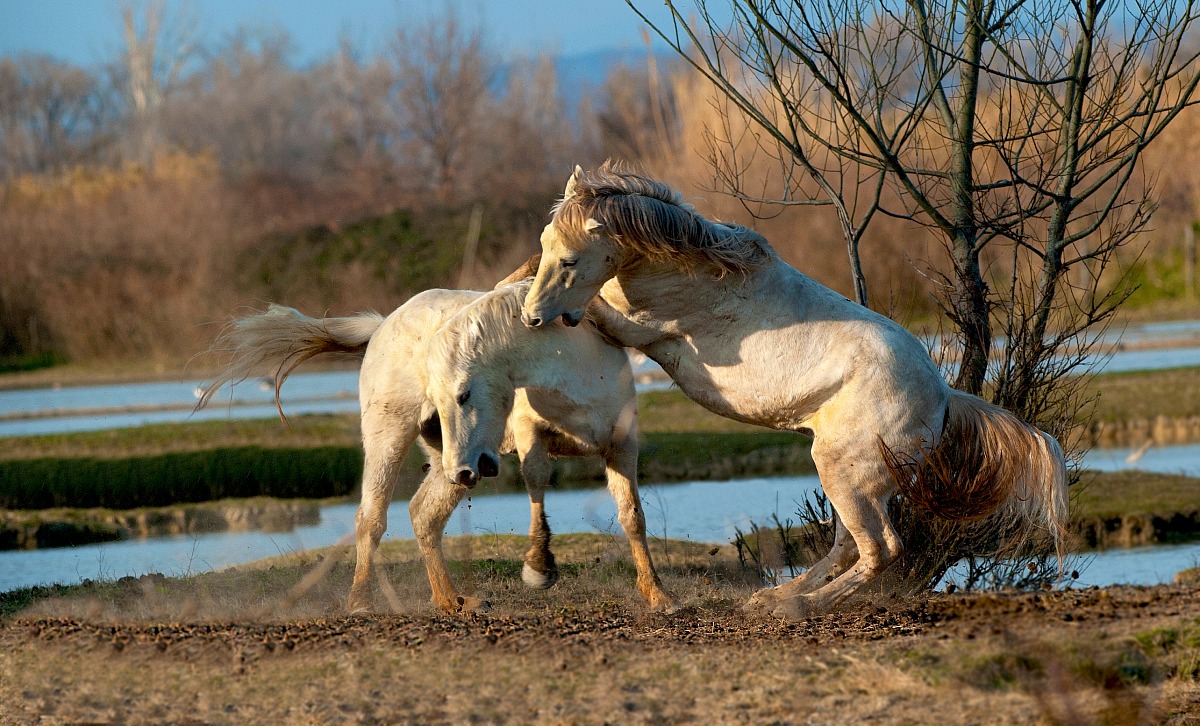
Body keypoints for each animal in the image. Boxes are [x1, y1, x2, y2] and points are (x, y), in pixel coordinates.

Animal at [197, 279, 669, 613]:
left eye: (463, 395)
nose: (466, 469)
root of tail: (382, 325)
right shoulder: (530, 436)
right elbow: (537, 482)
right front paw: (539, 568)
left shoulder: (622, 448)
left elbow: (633, 517)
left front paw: (658, 596)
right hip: (394, 438)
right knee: (371, 518)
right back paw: (362, 603)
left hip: (449, 461)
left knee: (424, 516)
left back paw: (453, 601)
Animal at [520, 162, 1069, 620]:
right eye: (547, 246)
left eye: (569, 260)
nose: (531, 318)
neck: (694, 272)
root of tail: (942, 400)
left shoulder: (638, 329)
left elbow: (596, 309)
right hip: (853, 477)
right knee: (849, 547)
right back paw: (775, 595)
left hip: (844, 471)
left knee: (880, 551)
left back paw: (795, 606)